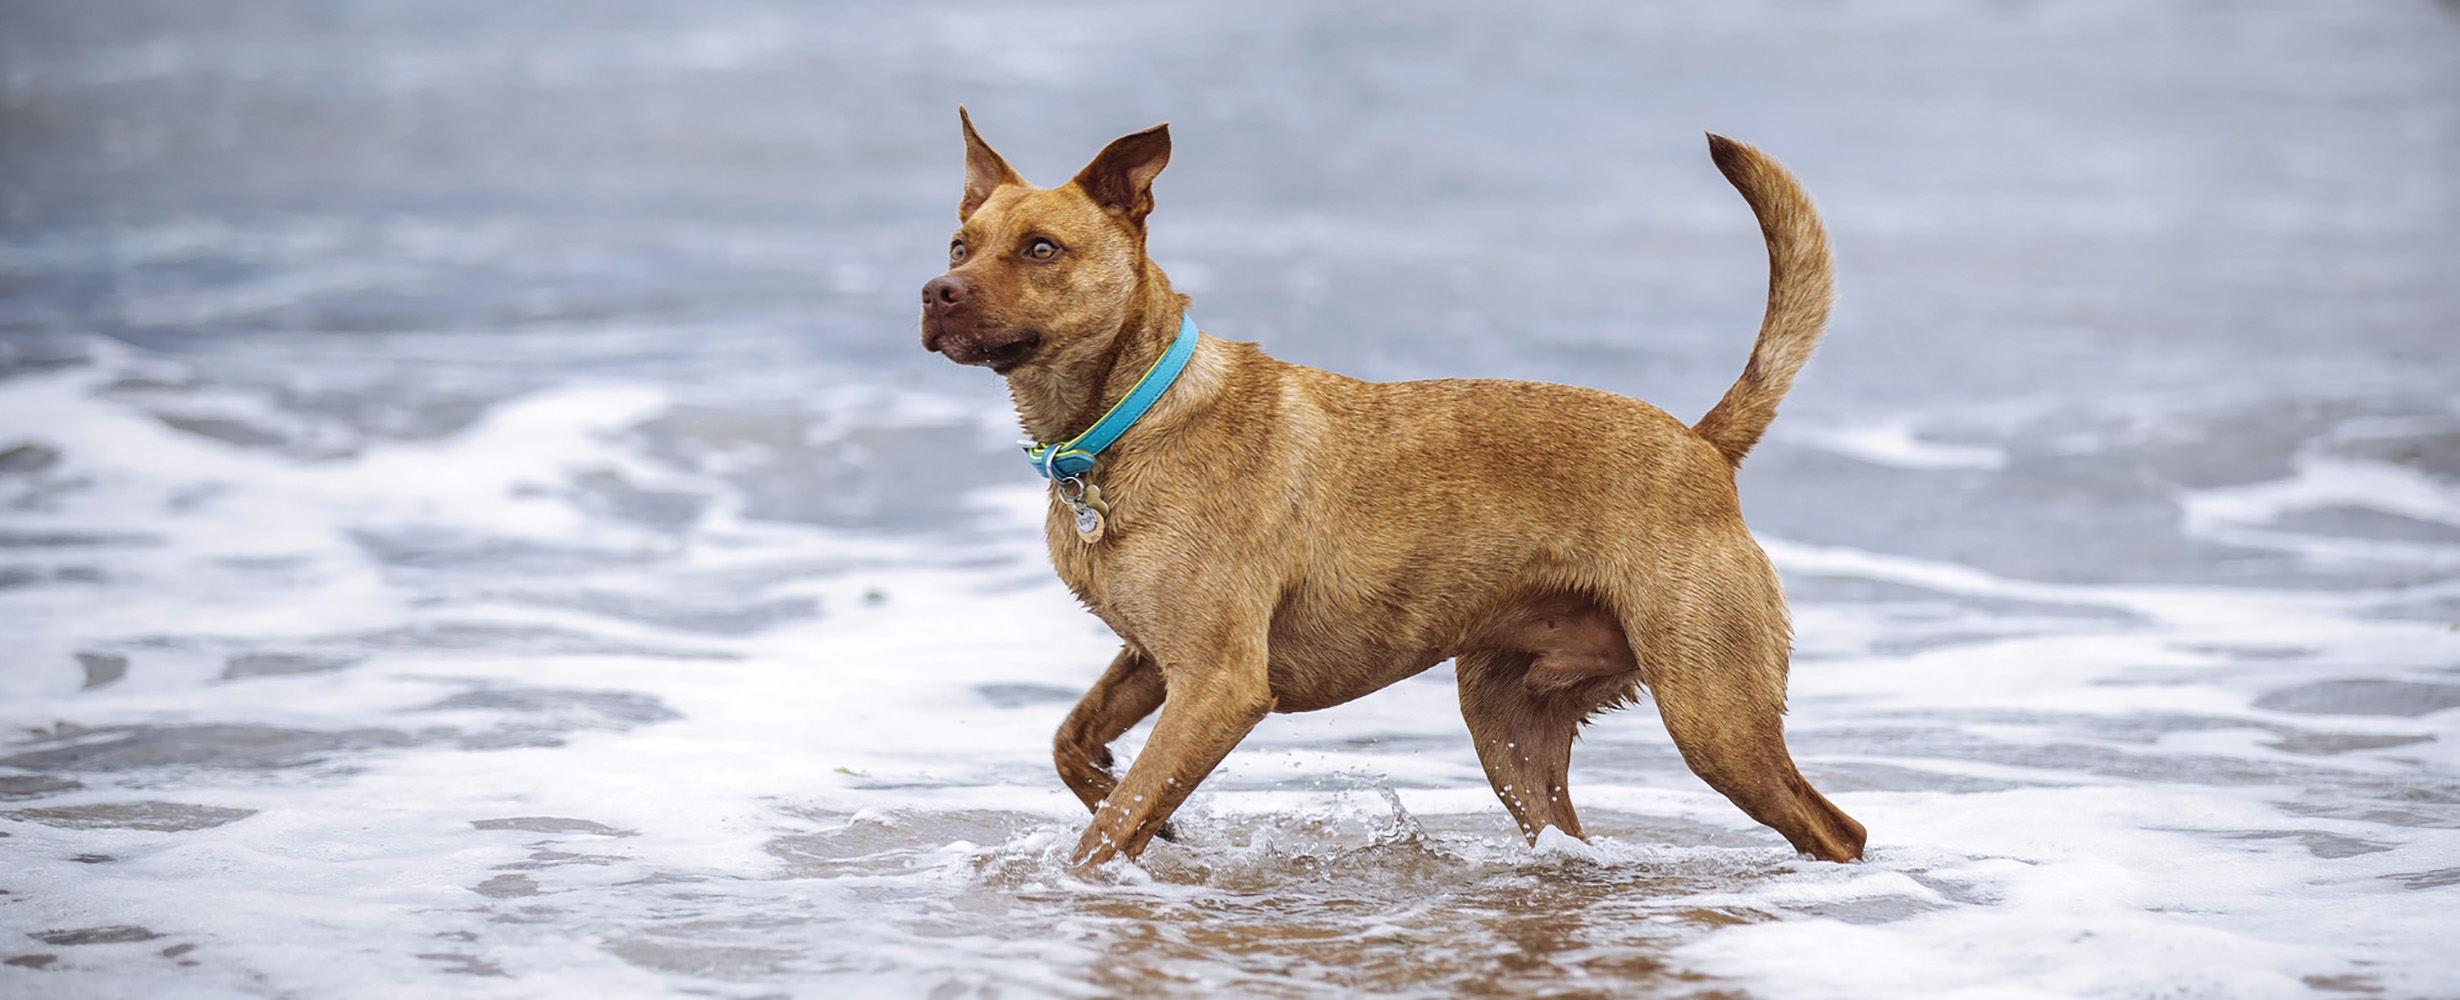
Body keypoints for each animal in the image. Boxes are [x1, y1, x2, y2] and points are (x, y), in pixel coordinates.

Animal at [924, 109, 1859, 869]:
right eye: (959, 246)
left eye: (1042, 249)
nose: (937, 293)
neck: (1123, 423)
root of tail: (1703, 445)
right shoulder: (1156, 661)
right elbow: (1076, 747)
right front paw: (1138, 802)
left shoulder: (1220, 683)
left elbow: (1107, 831)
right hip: (1510, 729)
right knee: (1566, 829)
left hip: (1712, 714)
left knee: (1834, 829)